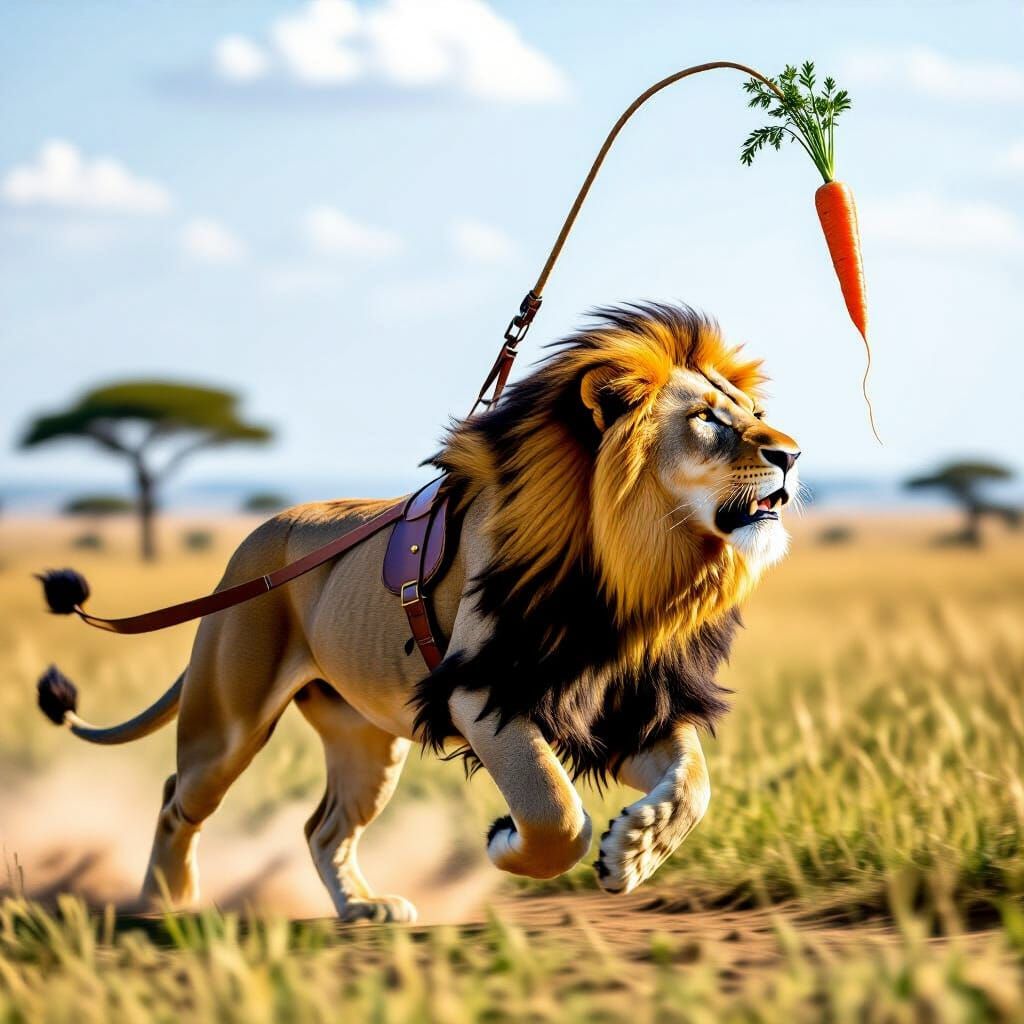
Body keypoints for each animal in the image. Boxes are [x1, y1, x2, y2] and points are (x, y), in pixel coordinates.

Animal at [37, 302, 801, 923]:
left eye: (753, 414)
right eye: (705, 419)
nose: (791, 454)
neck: (641, 572)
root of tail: (250, 548)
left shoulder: (625, 702)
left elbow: (695, 783)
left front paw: (635, 850)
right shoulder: (482, 692)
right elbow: (555, 810)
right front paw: (506, 844)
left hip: (366, 741)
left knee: (322, 828)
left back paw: (362, 908)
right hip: (227, 724)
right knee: (177, 801)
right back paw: (164, 905)